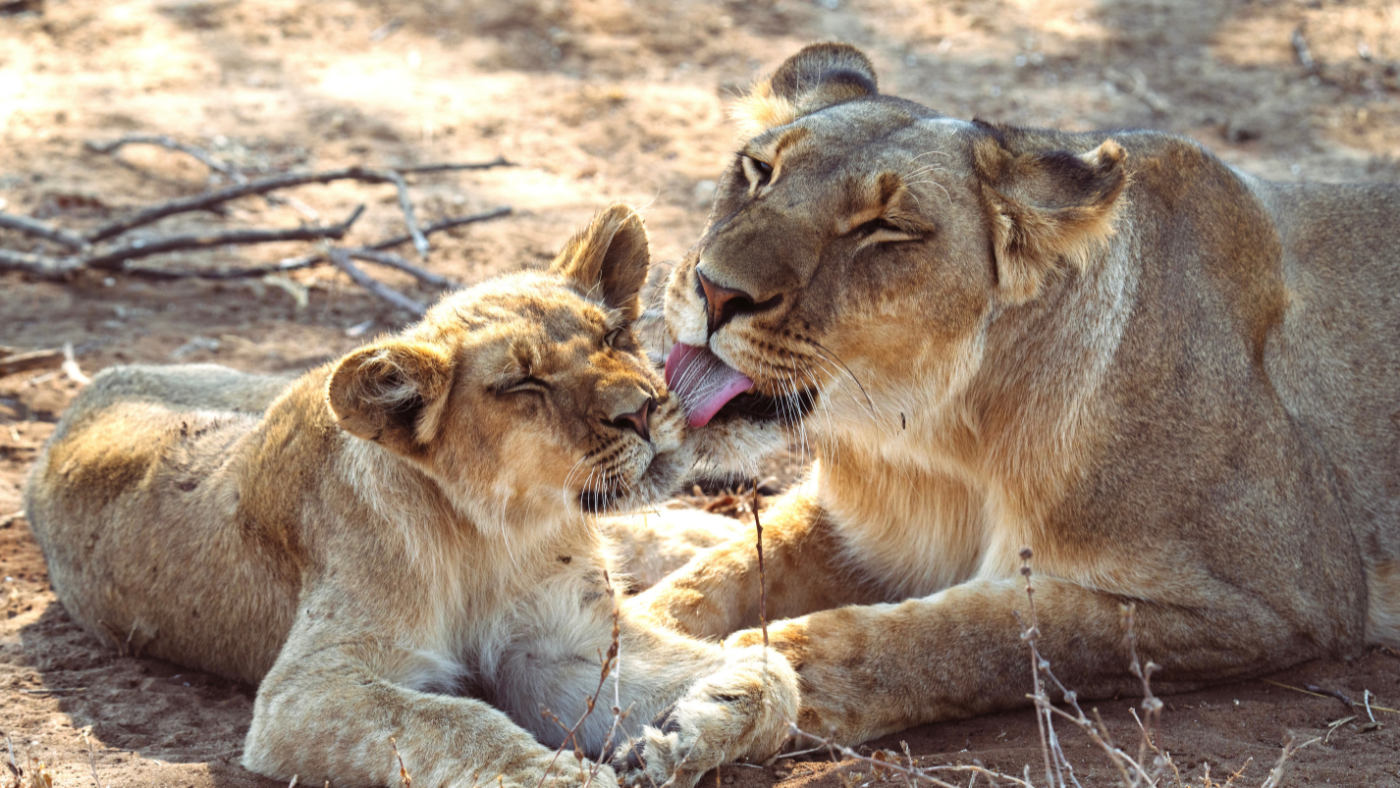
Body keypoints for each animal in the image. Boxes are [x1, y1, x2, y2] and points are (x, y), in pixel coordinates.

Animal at [23, 205, 798, 788]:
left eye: (613, 335)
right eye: (524, 384)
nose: (641, 410)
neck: (502, 532)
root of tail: (94, 384)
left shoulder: (558, 646)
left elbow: (771, 676)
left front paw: (685, 730)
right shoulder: (307, 692)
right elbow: (460, 723)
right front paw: (569, 775)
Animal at [627, 43, 1400, 747]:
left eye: (884, 228)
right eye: (759, 171)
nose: (715, 290)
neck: (938, 440)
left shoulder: (1288, 596)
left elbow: (1000, 631)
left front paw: (771, 667)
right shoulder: (857, 529)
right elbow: (720, 575)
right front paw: (649, 647)